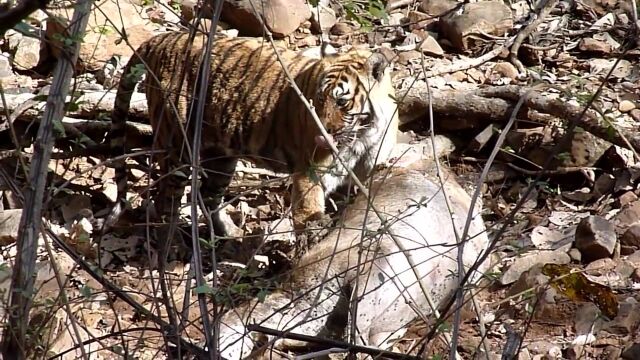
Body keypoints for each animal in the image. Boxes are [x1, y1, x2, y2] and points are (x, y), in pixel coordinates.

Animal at [109, 31, 398, 236]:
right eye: (317, 99)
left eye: (341, 102)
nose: (319, 135)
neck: (364, 132)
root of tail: (160, 39)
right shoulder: (312, 171)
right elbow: (308, 212)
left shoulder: (372, 160)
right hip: (178, 147)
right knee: (166, 200)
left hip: (221, 157)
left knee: (206, 195)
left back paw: (228, 234)